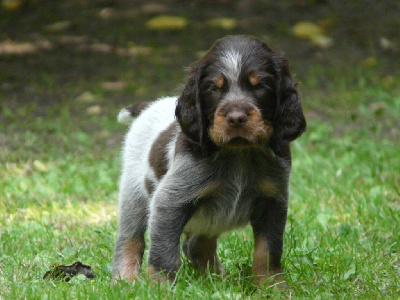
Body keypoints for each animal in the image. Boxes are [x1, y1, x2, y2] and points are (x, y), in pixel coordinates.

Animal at [112, 35, 306, 286]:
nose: (236, 118)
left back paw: (215, 280)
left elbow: (267, 252)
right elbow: (164, 255)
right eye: (214, 88)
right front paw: (160, 288)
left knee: (196, 244)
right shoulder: (171, 201)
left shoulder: (273, 201)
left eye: (260, 86)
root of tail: (150, 106)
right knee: (129, 239)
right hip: (134, 194)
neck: (239, 154)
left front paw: (271, 287)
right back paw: (124, 279)